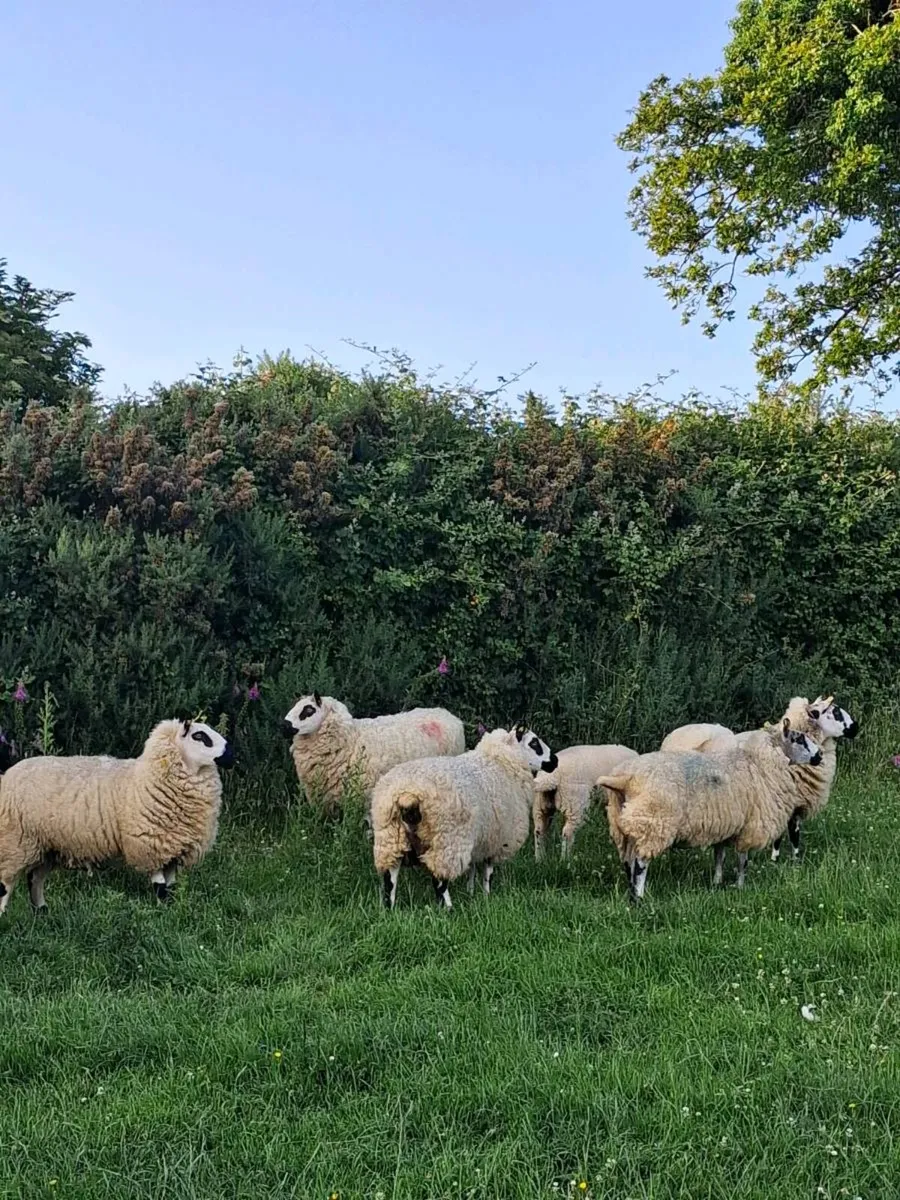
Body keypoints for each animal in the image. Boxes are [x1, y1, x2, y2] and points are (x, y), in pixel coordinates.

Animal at [0, 718, 233, 915]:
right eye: (199, 736)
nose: (231, 753)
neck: (146, 776)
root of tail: (7, 775)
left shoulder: (174, 849)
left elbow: (171, 886)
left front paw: (172, 910)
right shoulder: (149, 846)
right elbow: (160, 886)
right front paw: (163, 912)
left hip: (46, 845)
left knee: (35, 878)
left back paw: (42, 912)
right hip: (14, 841)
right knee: (5, 883)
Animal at [372, 725, 556, 910]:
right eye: (534, 743)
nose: (555, 761)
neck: (501, 763)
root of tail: (407, 795)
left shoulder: (480, 838)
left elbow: (472, 868)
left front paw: (471, 892)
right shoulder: (496, 839)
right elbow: (488, 872)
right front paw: (487, 895)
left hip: (390, 839)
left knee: (389, 879)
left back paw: (389, 908)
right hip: (447, 842)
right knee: (439, 880)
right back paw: (448, 909)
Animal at [597, 718, 825, 902]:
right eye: (799, 739)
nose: (820, 755)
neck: (758, 760)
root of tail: (625, 779)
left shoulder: (724, 825)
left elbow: (719, 856)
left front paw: (716, 882)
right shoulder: (749, 826)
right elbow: (742, 860)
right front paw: (740, 886)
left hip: (624, 826)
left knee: (628, 862)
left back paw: (631, 894)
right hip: (653, 823)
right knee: (640, 864)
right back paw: (639, 897)